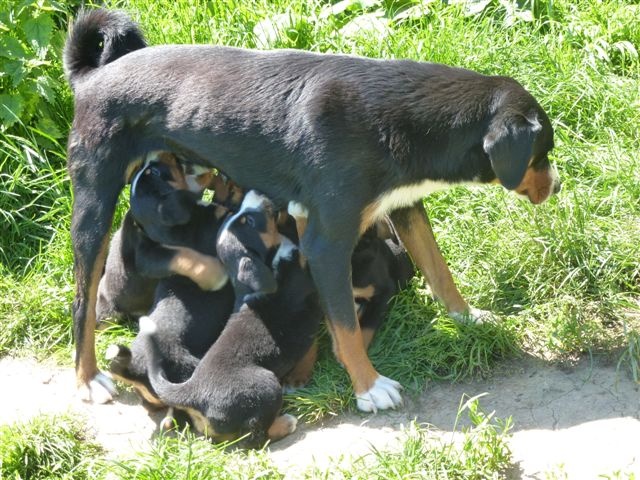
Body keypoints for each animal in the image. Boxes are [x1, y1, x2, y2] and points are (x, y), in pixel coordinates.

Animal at [95, 152, 225, 324]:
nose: (152, 153)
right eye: (155, 172)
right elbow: (181, 256)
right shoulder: (147, 257)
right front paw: (215, 274)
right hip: (107, 309)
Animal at [138, 191, 322, 446]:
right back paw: (285, 423)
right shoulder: (302, 271)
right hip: (266, 384)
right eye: (250, 222)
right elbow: (305, 244)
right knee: (255, 438)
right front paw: (300, 211)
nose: (255, 192)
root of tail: (193, 392)